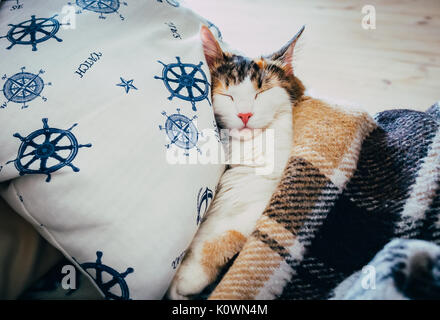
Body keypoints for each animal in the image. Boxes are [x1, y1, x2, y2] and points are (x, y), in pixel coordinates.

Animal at [168, 25, 306, 300]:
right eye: (228, 95)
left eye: (261, 92)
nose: (244, 114)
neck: (245, 151)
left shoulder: (258, 203)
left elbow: (226, 236)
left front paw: (186, 279)